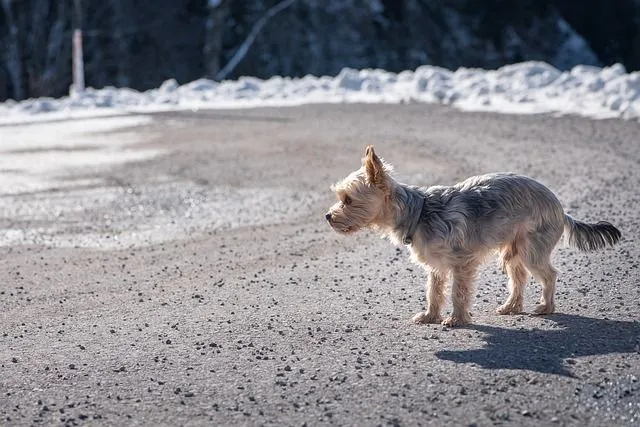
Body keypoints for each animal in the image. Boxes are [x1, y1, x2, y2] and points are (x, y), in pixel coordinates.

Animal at [324, 147, 620, 328]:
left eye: (348, 200)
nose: (327, 216)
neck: (418, 212)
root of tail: (560, 207)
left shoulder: (462, 263)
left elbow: (458, 292)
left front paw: (457, 320)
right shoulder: (436, 267)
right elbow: (434, 292)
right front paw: (431, 316)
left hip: (532, 249)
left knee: (549, 274)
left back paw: (545, 307)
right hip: (512, 250)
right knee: (519, 277)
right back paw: (511, 307)